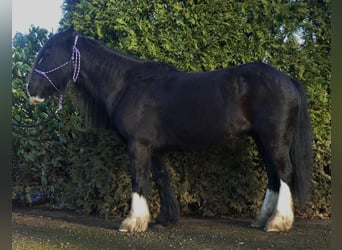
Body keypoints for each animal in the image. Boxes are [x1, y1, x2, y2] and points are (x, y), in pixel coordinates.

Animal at [28, 26, 312, 233]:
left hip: (274, 139)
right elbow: (162, 179)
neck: (127, 84)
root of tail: (287, 79)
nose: (30, 91)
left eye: (48, 53)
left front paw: (132, 223)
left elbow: (139, 179)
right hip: (263, 140)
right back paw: (262, 219)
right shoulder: (154, 149)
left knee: (284, 173)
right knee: (273, 176)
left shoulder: (138, 146)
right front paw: (164, 219)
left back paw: (278, 222)